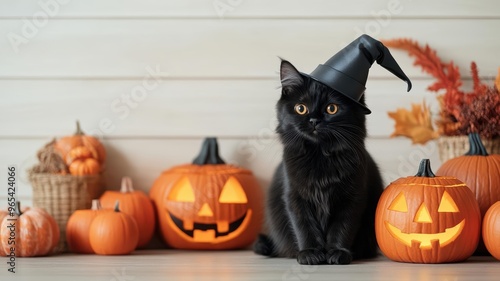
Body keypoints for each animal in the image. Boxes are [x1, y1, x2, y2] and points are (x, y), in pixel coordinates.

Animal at [254, 60, 382, 264]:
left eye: (332, 108)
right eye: (300, 108)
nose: (314, 120)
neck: (319, 155)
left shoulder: (352, 198)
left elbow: (342, 227)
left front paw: (338, 252)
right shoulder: (295, 197)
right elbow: (304, 227)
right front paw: (310, 253)